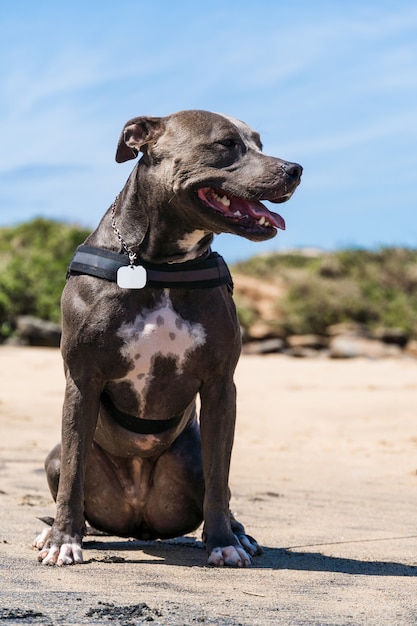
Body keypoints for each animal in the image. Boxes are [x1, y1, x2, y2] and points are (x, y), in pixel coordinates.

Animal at [32, 108, 300, 564]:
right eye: (227, 143)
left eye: (260, 143)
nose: (294, 169)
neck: (160, 265)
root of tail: (140, 518)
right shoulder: (82, 381)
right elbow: (72, 477)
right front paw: (63, 541)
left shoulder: (220, 385)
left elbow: (220, 480)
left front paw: (224, 543)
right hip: (54, 456)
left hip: (190, 460)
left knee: (218, 487)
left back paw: (238, 533)